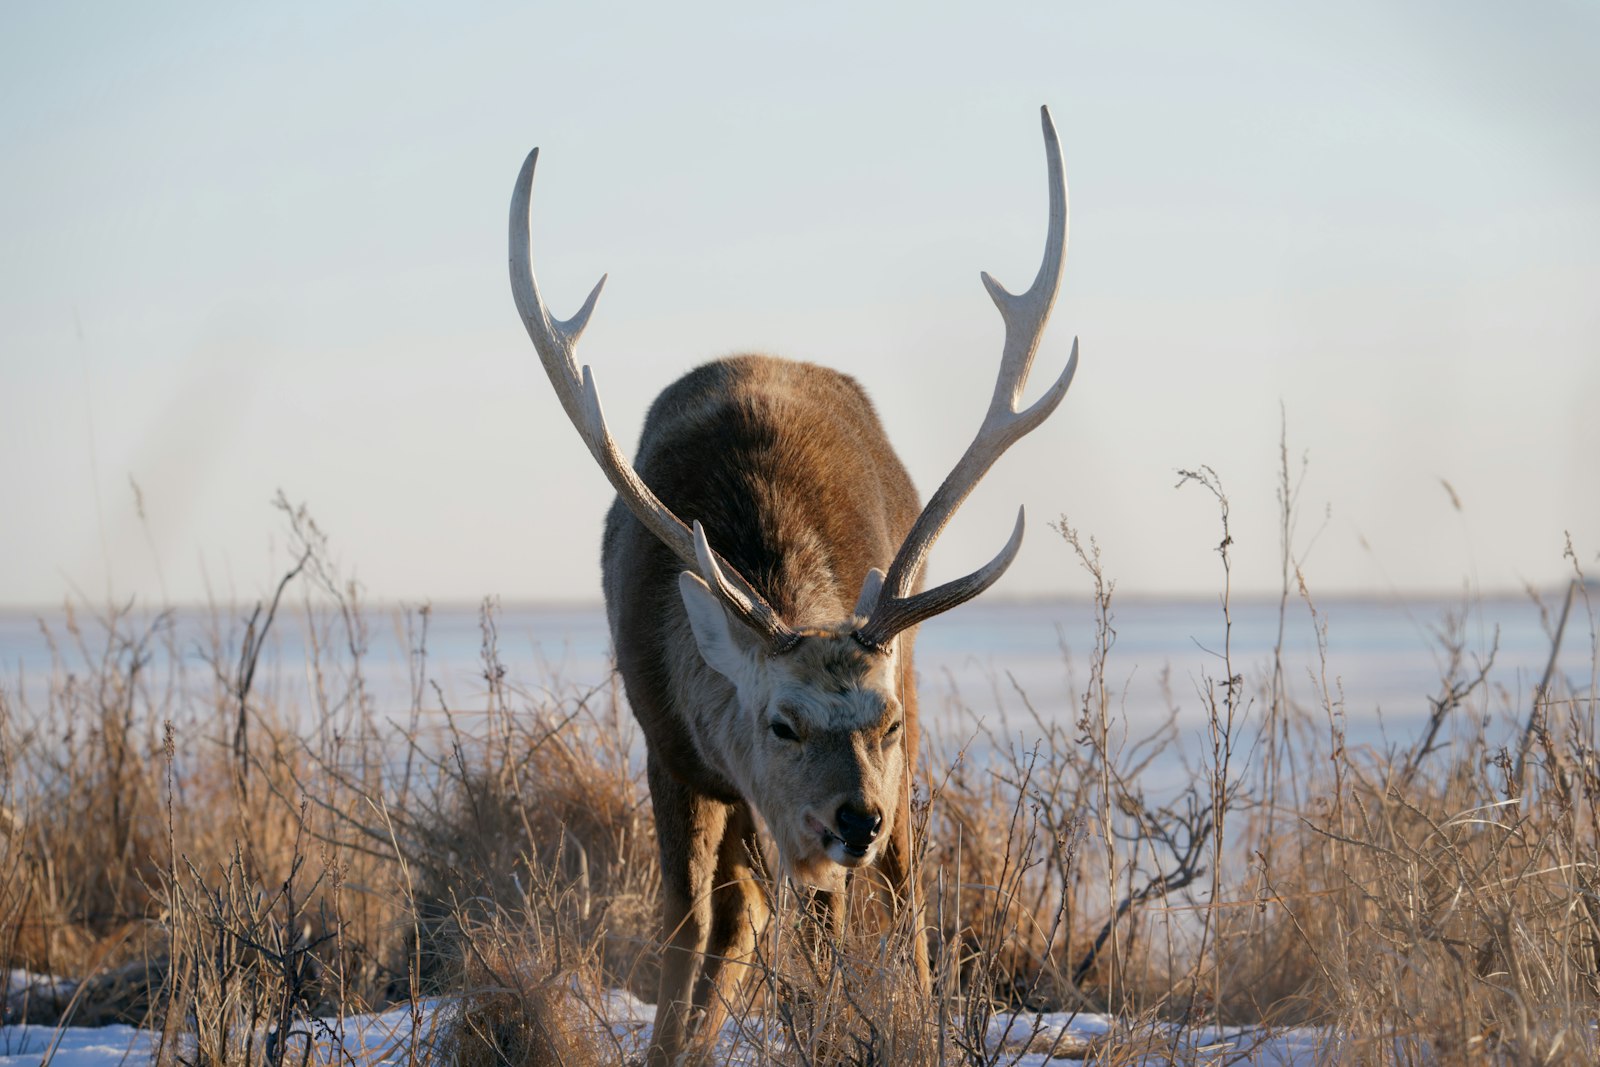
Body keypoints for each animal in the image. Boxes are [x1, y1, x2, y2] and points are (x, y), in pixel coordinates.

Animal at [508, 106, 1076, 1064]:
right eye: (783, 721)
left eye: (880, 722)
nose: (856, 818)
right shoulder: (666, 744)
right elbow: (686, 927)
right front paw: (670, 1044)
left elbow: (832, 930)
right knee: (743, 910)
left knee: (899, 899)